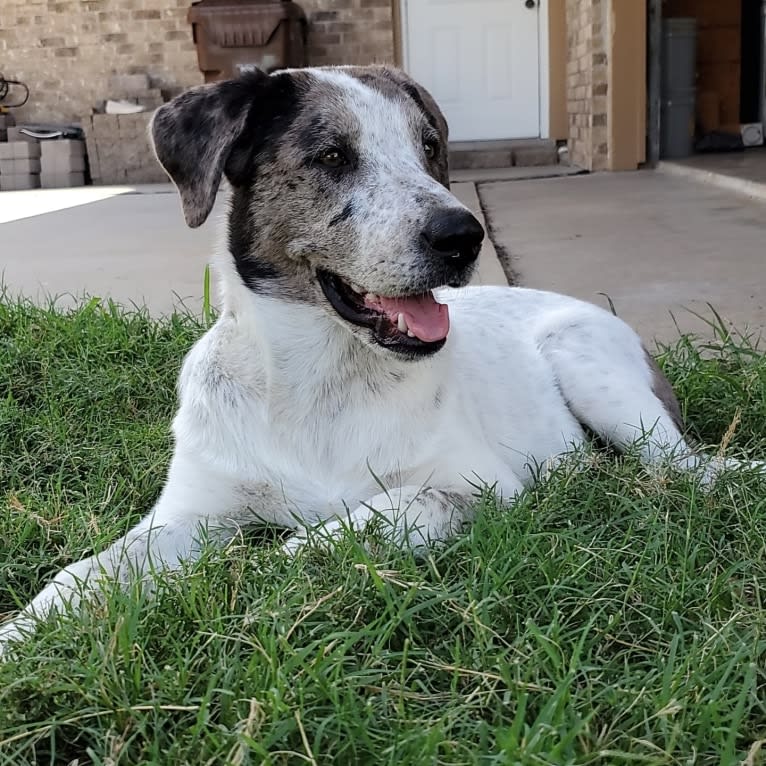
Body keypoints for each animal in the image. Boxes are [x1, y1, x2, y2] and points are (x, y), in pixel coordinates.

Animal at [0, 63, 760, 656]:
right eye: (332, 156)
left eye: (430, 149)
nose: (463, 236)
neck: (320, 382)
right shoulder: (187, 514)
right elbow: (86, 574)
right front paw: (22, 635)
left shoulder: (479, 485)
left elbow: (353, 525)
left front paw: (265, 570)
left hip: (588, 365)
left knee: (683, 469)